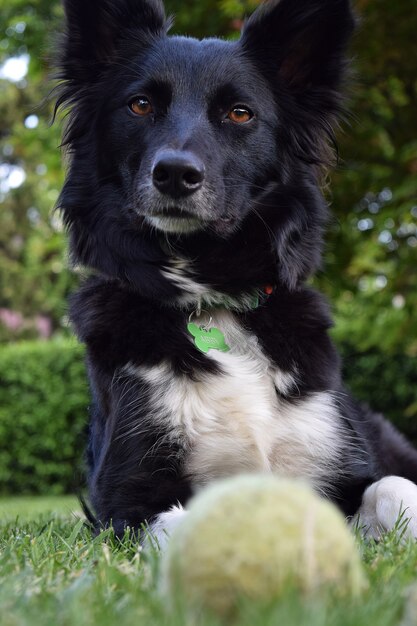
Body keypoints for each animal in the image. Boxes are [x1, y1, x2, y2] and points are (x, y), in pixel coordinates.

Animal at [55, 0, 416, 544]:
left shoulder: (340, 465)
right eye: (140, 105)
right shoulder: (128, 499)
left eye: (239, 113)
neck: (213, 296)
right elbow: (187, 523)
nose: (175, 174)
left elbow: (393, 487)